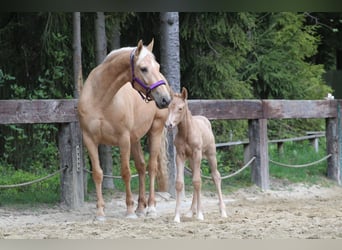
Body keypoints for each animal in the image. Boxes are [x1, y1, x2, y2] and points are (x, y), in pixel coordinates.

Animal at [79, 39, 172, 219]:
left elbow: (126, 172)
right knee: (141, 167)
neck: (100, 100)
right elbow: (98, 173)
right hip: (135, 139)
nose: (165, 99)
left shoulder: (123, 139)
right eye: (143, 68)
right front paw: (100, 211)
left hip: (155, 130)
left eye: (157, 66)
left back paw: (151, 207)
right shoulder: (89, 140)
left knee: (151, 167)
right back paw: (141, 207)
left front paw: (129, 209)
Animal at [166, 87, 227, 223]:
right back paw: (190, 212)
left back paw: (223, 211)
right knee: (198, 176)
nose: (168, 124)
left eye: (180, 108)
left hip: (211, 155)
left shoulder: (197, 153)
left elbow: (197, 181)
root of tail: (206, 120)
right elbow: (180, 183)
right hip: (191, 160)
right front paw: (177, 217)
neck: (186, 133)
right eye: (169, 106)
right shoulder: (180, 155)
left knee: (216, 176)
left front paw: (200, 215)